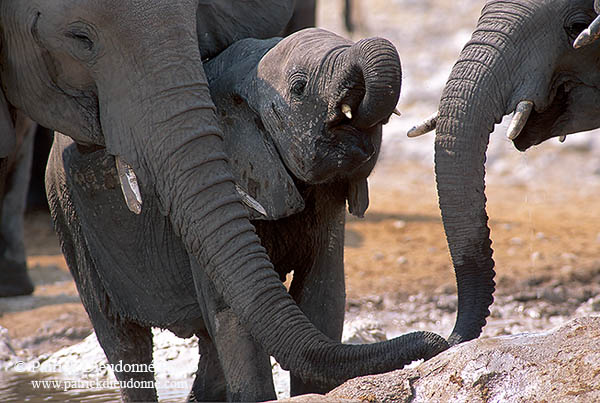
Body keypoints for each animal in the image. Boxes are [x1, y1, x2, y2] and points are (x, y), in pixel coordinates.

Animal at [1, 1, 446, 402]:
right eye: (299, 87)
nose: (440, 343)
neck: (248, 76)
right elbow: (234, 315)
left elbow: (323, 296)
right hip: (69, 221)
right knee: (124, 341)